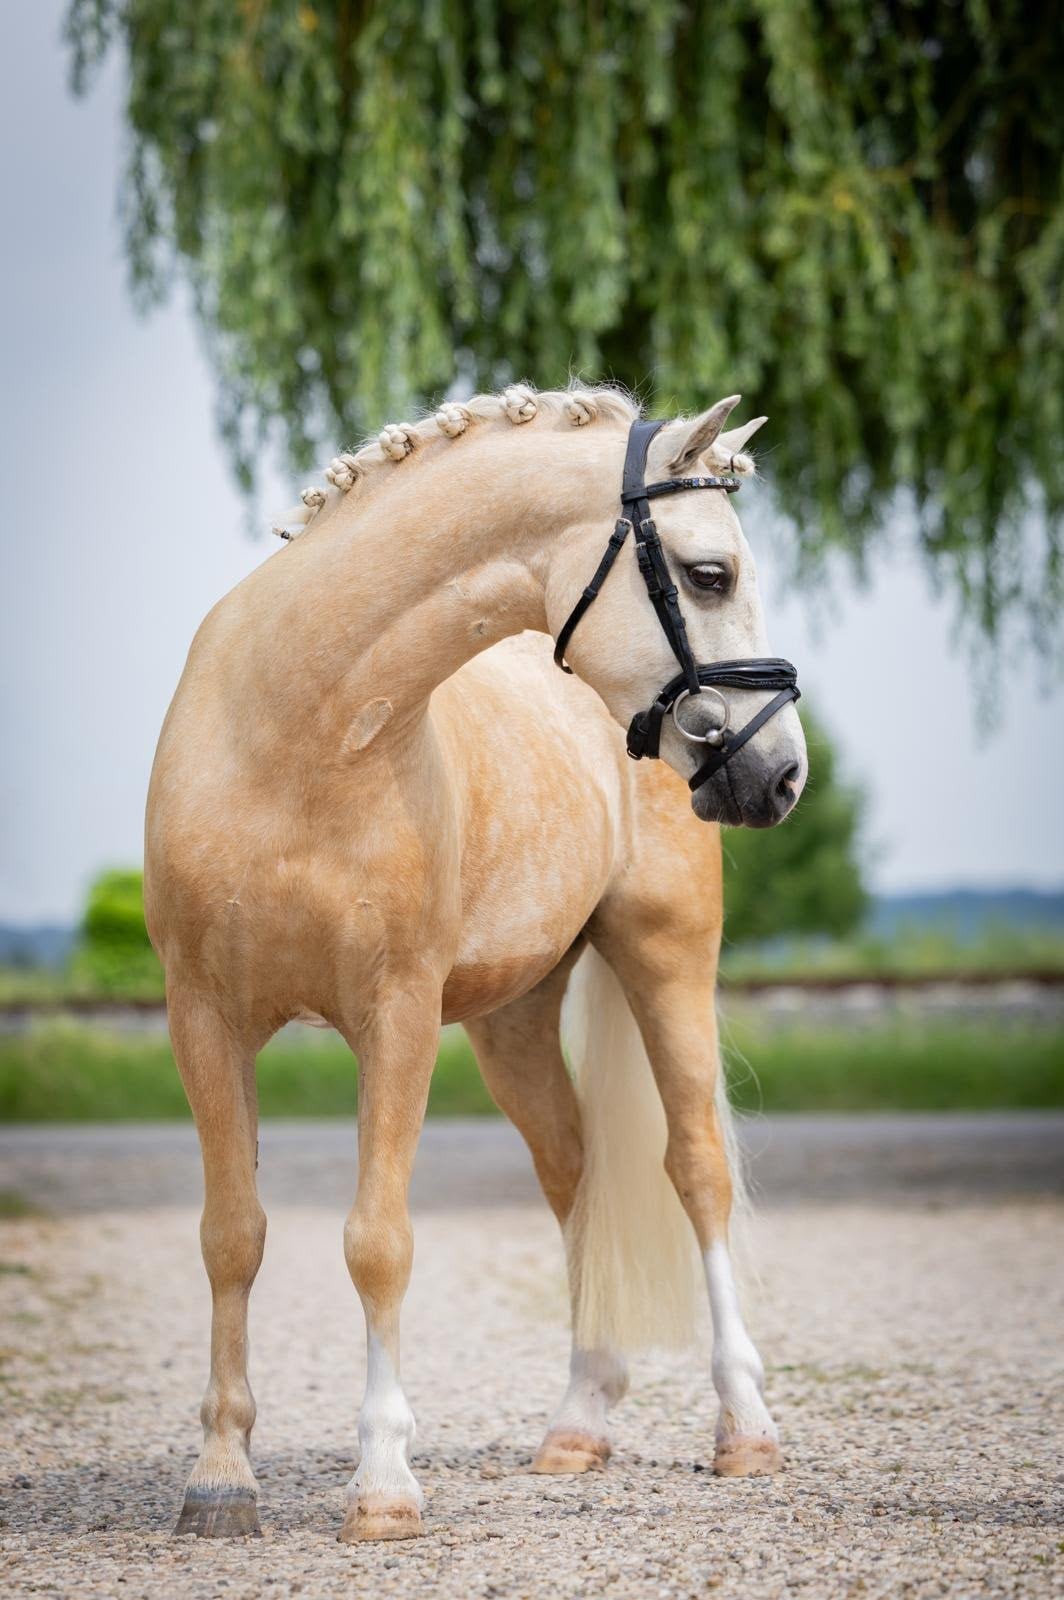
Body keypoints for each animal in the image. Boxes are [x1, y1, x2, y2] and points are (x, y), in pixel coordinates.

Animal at [144, 382, 807, 1544]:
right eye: (709, 574)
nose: (780, 774)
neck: (291, 733)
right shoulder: (204, 1018)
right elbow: (232, 1235)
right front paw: (220, 1477)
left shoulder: (396, 1015)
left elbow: (377, 1240)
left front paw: (382, 1486)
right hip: (511, 1019)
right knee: (574, 1171)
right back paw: (578, 1424)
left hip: (665, 960)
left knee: (695, 1169)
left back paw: (745, 1428)